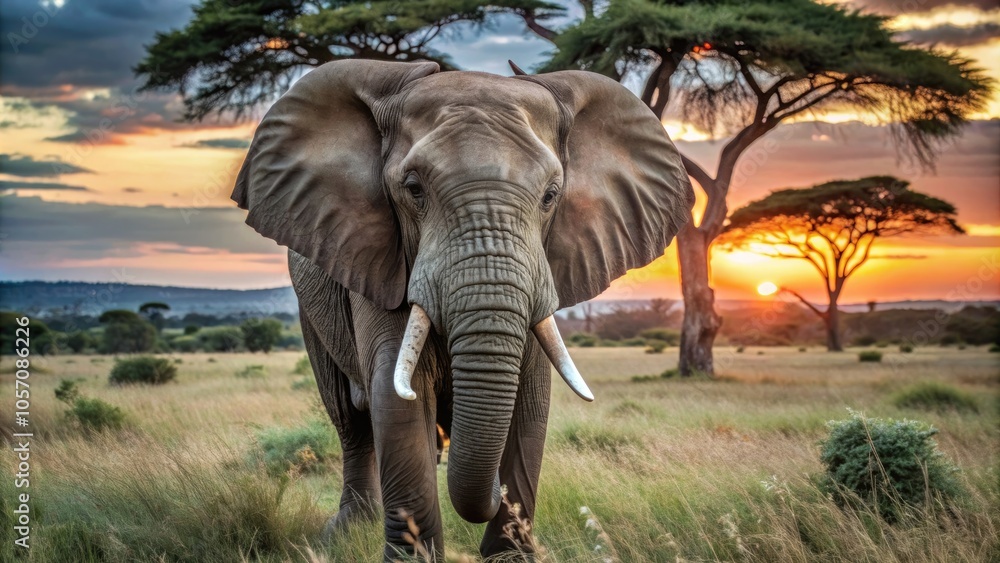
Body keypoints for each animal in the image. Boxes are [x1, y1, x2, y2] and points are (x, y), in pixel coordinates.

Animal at [231, 58, 694, 560]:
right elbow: (398, 394)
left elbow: (531, 402)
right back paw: (348, 530)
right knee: (349, 419)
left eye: (551, 196)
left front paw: (510, 556)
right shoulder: (384, 260)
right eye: (413, 189)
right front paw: (414, 556)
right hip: (311, 309)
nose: (494, 490)